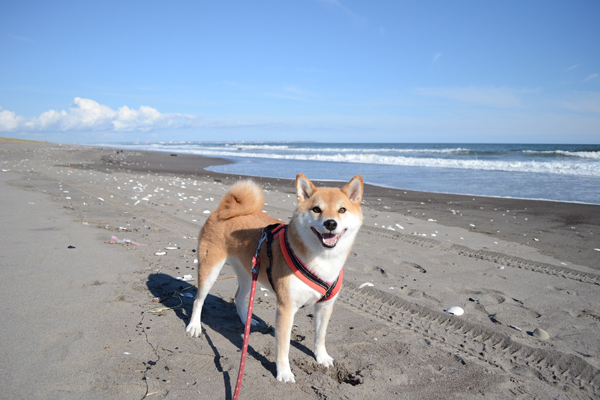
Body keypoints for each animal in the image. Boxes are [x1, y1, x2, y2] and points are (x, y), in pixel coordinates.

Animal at [185, 173, 364, 382]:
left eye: (342, 210)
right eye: (316, 209)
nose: (330, 223)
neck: (322, 260)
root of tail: (223, 209)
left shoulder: (325, 305)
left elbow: (320, 336)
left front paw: (322, 357)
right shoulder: (286, 308)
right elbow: (284, 346)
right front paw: (284, 372)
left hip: (249, 273)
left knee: (239, 298)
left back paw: (247, 322)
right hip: (211, 269)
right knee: (198, 299)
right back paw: (194, 326)